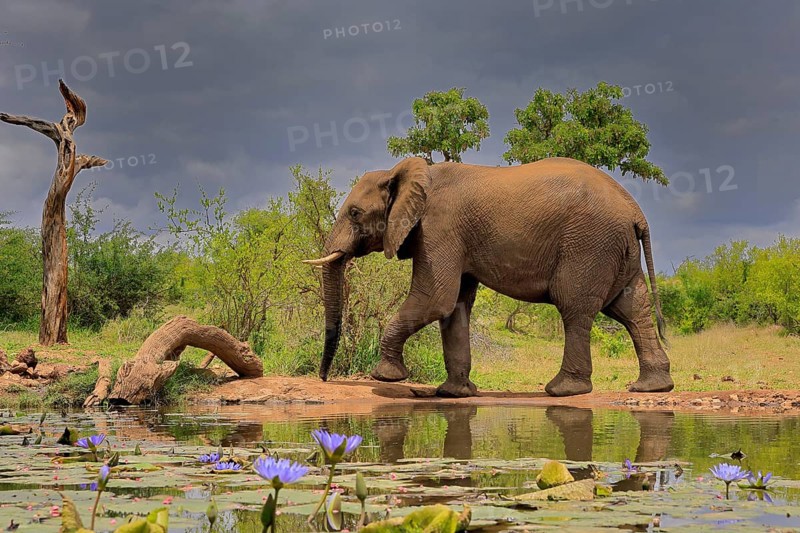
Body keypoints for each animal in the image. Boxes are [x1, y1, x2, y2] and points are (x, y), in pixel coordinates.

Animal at [304, 156, 674, 397]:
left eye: (355, 213)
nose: (323, 379)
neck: (406, 172)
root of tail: (637, 212)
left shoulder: (439, 227)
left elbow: (435, 299)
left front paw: (386, 377)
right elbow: (454, 307)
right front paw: (455, 394)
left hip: (589, 244)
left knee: (575, 308)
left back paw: (563, 390)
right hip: (616, 248)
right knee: (631, 310)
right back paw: (651, 387)